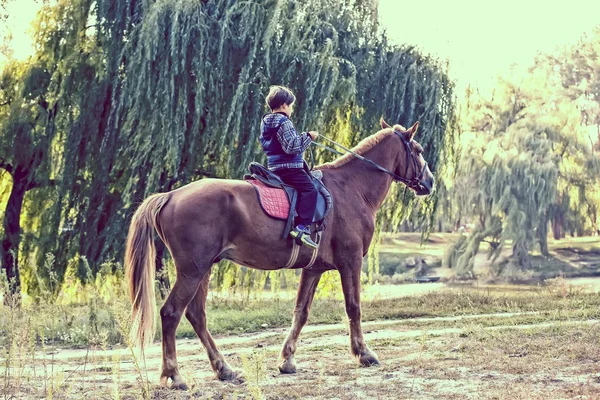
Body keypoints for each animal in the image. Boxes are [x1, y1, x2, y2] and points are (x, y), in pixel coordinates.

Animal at [124, 118, 434, 388]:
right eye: (418, 151)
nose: (429, 182)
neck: (352, 188)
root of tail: (170, 196)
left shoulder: (313, 269)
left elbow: (301, 312)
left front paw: (287, 360)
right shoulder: (351, 261)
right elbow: (353, 307)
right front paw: (364, 353)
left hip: (203, 269)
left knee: (197, 315)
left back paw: (224, 369)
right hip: (193, 270)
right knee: (171, 313)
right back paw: (175, 375)